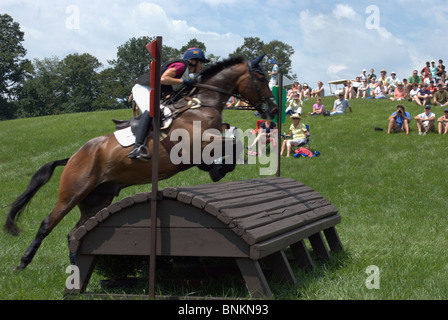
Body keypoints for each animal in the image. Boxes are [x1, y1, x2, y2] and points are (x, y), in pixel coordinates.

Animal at [3, 55, 278, 270]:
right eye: (262, 79)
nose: (274, 109)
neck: (201, 104)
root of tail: (73, 157)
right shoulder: (193, 144)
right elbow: (232, 143)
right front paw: (219, 169)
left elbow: (230, 140)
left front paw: (218, 168)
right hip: (72, 192)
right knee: (47, 224)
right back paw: (23, 263)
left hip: (97, 199)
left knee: (75, 232)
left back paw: (75, 268)